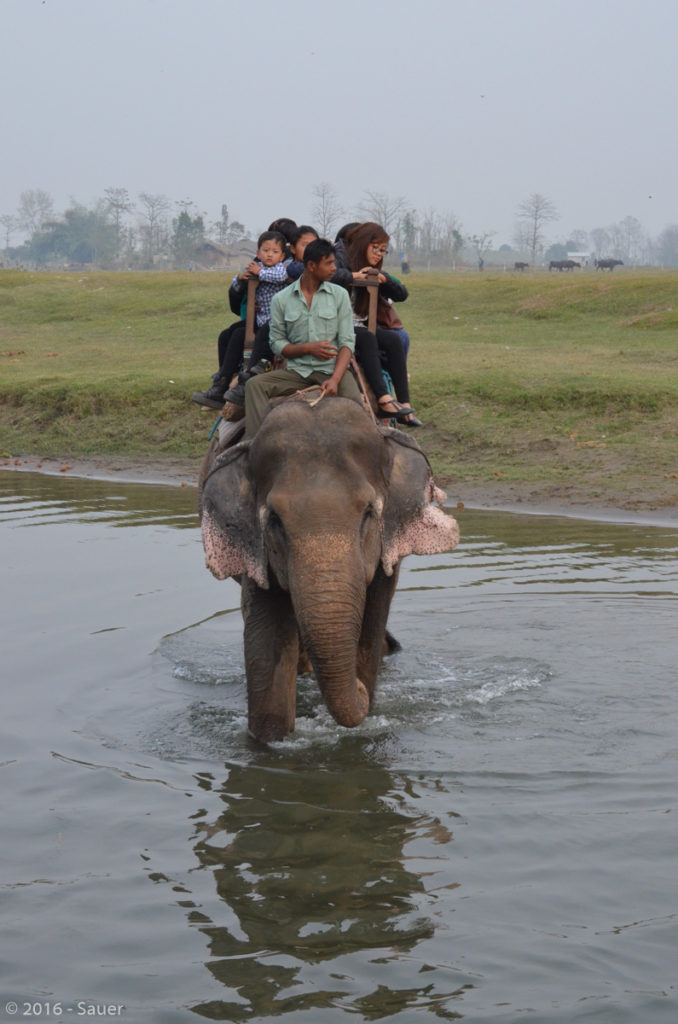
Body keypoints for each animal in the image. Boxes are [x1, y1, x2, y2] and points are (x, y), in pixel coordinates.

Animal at [200, 396, 459, 743]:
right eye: (274, 520)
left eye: (368, 512)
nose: (360, 688)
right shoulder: (257, 547)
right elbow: (266, 640)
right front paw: (271, 742)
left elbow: (372, 621)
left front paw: (367, 685)